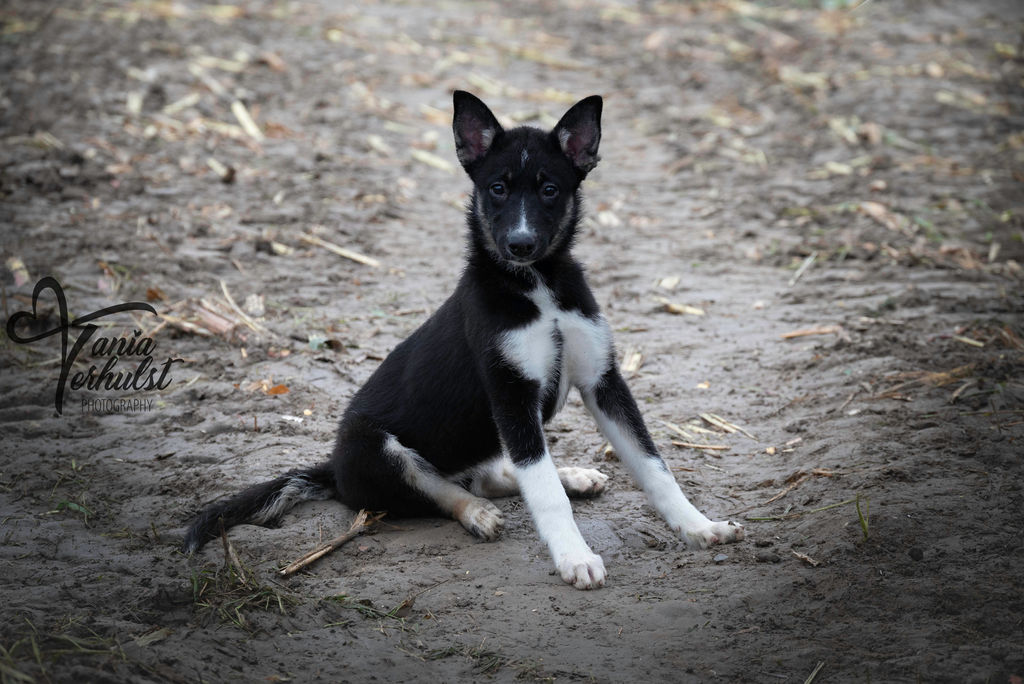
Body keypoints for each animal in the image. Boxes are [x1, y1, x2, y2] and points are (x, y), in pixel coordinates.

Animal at [182, 93, 745, 589]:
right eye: (496, 188)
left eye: (549, 189)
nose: (519, 244)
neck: (536, 286)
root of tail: (333, 472)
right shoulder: (512, 394)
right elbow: (544, 493)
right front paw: (575, 557)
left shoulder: (602, 381)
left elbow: (654, 466)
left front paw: (699, 527)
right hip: (377, 445)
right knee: (441, 489)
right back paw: (477, 513)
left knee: (491, 474)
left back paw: (572, 476)